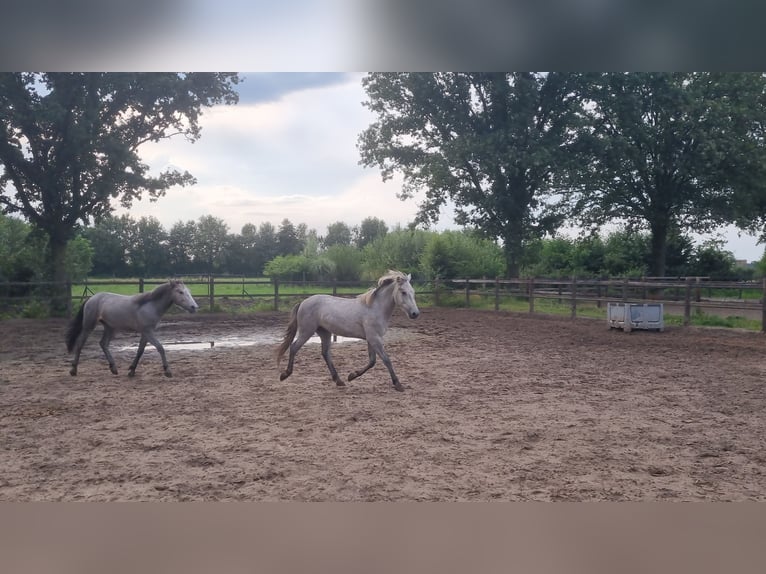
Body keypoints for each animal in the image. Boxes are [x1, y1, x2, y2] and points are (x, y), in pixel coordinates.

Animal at [65, 282, 200, 380]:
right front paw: (167, 371)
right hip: (89, 326)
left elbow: (140, 351)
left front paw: (131, 370)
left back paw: (113, 368)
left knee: (103, 344)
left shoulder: (145, 333)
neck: (149, 306)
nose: (194, 307)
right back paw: (73, 370)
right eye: (180, 292)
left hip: (110, 327)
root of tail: (91, 298)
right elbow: (160, 348)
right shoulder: (148, 332)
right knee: (80, 344)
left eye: (188, 292)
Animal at [276, 272, 420, 394]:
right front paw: (398, 384)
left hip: (325, 333)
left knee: (325, 353)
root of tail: (303, 302)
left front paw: (351, 376)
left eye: (413, 292)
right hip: (306, 331)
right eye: (403, 292)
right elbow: (386, 360)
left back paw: (339, 380)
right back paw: (285, 374)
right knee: (294, 347)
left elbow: (372, 361)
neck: (375, 308)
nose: (415, 314)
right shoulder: (375, 338)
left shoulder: (371, 339)